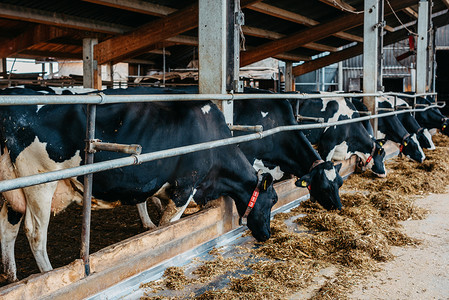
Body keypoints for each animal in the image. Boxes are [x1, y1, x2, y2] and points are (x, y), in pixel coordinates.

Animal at [0, 86, 278, 282]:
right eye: (273, 199)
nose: (267, 235)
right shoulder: (184, 187)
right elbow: (168, 227)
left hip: (13, 188)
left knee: (8, 228)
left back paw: (11, 275)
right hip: (40, 183)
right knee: (35, 233)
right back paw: (48, 272)